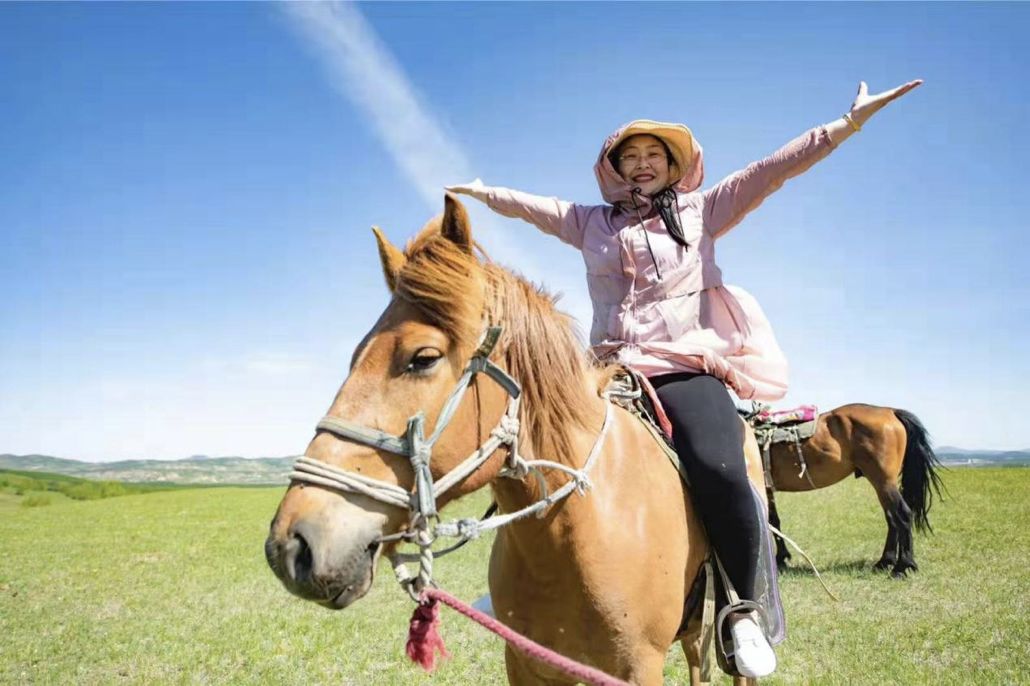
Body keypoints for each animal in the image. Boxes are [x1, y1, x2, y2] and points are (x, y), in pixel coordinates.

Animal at [766, 403, 943, 572]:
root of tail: (891, 411)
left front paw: (779, 558)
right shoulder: (768, 490)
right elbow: (775, 521)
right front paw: (781, 558)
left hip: (884, 482)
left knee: (903, 514)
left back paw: (903, 566)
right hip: (883, 485)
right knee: (892, 518)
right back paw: (885, 562)